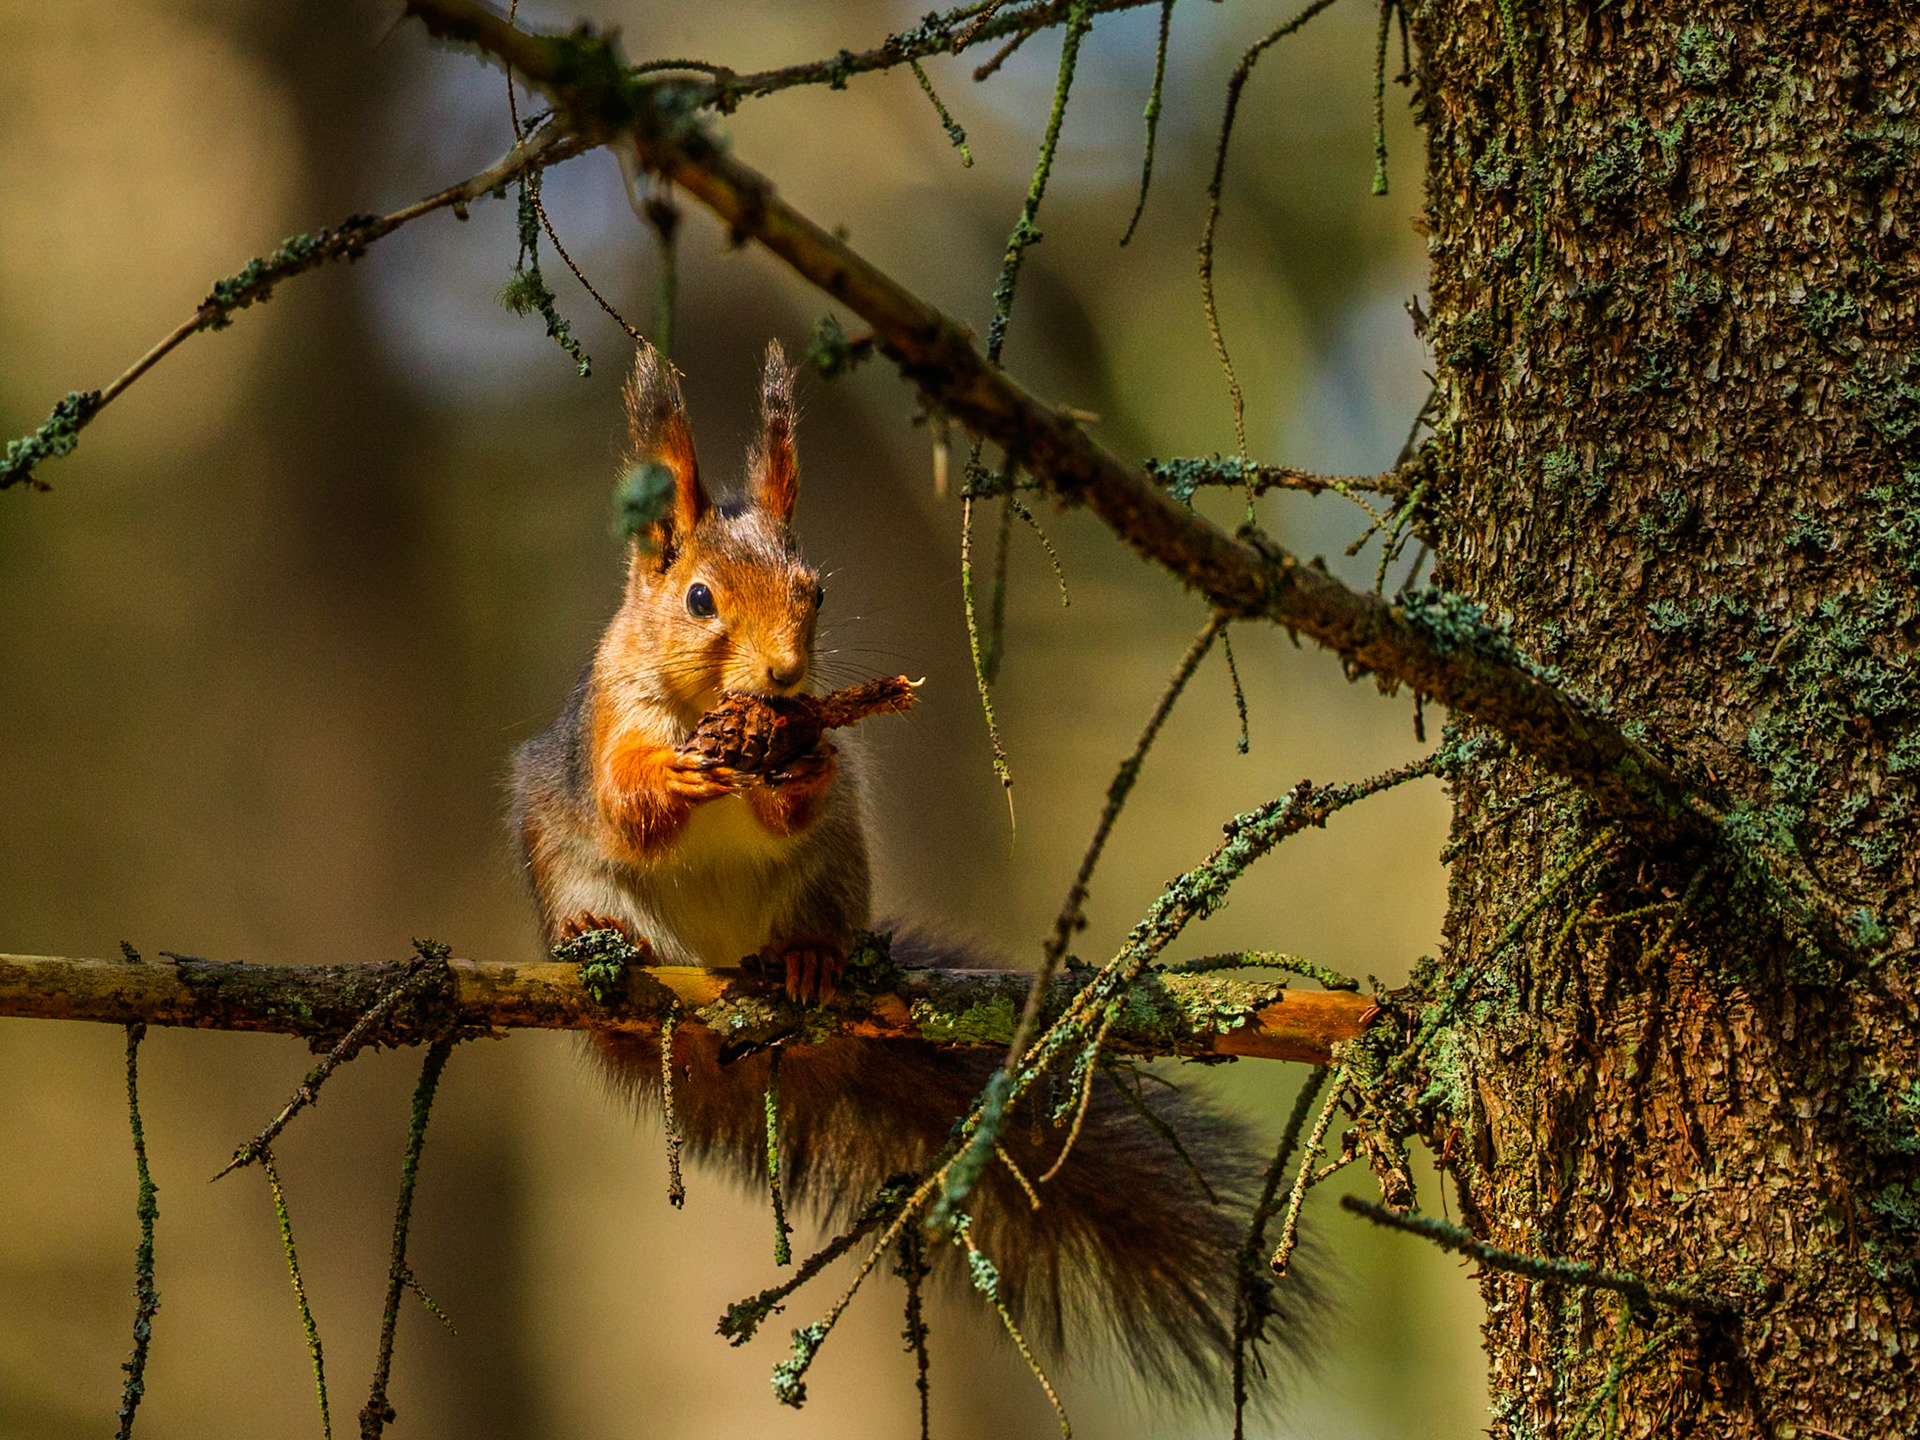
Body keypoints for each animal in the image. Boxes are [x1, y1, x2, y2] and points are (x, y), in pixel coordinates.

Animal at [512, 343, 1318, 1400]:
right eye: (698, 599)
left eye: (815, 591)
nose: (785, 679)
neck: (708, 712)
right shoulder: (606, 723)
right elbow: (625, 805)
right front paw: (675, 777)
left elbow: (798, 796)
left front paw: (802, 761)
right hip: (558, 858)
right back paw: (601, 944)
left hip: (833, 871)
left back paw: (809, 962)